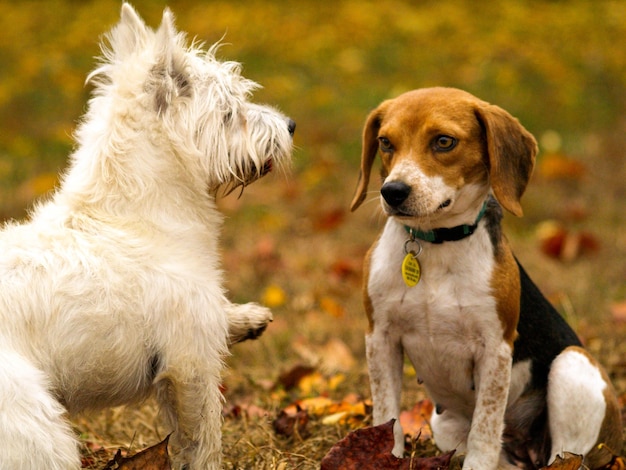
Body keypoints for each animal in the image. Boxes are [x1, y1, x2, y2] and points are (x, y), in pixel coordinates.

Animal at [0, 4, 294, 470]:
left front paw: (246, 318)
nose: (291, 125)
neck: (131, 216)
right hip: (38, 427)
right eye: (231, 111)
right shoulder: (188, 363)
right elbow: (203, 440)